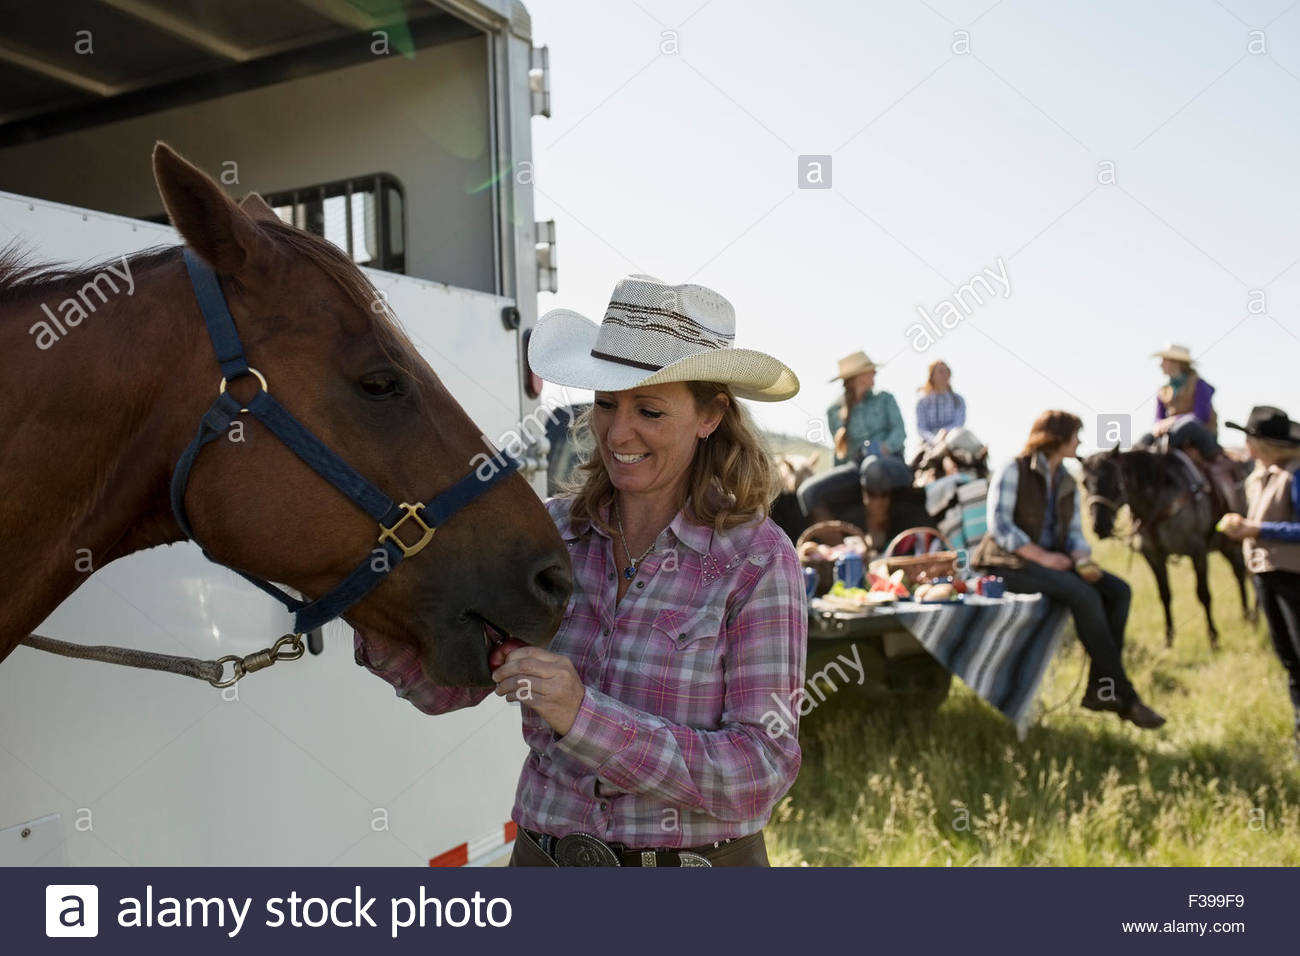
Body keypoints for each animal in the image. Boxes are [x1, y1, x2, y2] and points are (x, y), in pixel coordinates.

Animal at [1081, 447, 1253, 649]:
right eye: (1084, 483)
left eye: (1116, 481)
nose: (1099, 525)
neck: (1157, 501)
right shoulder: (1154, 557)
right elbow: (1165, 595)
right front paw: (1168, 640)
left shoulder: (1198, 552)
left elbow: (1203, 594)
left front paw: (1213, 638)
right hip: (1225, 546)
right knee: (1240, 573)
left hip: (1235, 543)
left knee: (1241, 573)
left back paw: (1249, 617)